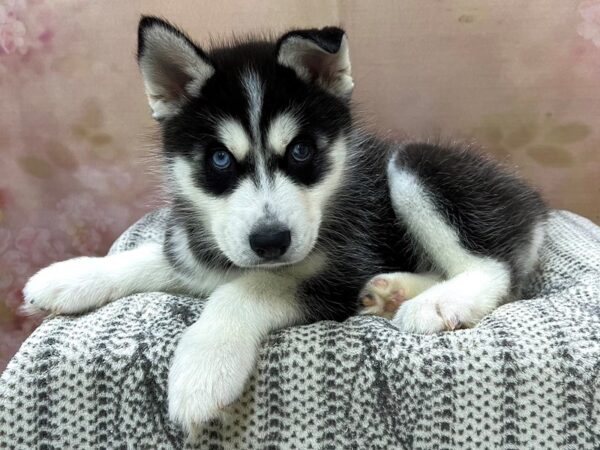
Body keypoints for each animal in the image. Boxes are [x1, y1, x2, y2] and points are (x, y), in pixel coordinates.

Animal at [23, 16, 548, 432]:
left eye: (300, 151)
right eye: (219, 158)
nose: (270, 241)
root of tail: (533, 203)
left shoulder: (345, 262)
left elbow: (249, 289)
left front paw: (204, 365)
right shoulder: (203, 246)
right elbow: (161, 254)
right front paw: (73, 275)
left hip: (412, 165)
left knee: (495, 269)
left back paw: (438, 302)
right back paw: (392, 292)